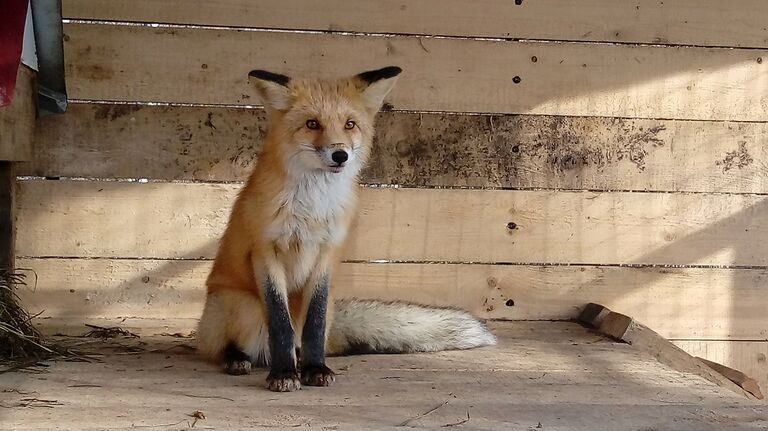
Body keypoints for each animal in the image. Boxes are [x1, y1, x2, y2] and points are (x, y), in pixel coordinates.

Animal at [196, 66, 498, 394]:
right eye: (312, 124)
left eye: (349, 124)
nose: (340, 155)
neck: (311, 209)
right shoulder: (265, 252)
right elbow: (280, 324)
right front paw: (284, 373)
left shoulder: (328, 253)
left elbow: (313, 325)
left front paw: (314, 369)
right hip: (244, 306)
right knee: (225, 346)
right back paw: (239, 359)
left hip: (325, 308)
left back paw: (300, 359)